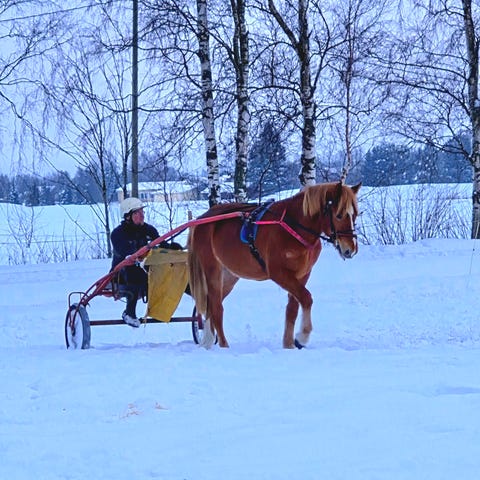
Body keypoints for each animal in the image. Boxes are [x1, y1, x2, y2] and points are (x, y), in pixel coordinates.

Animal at [187, 181, 361, 349]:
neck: (293, 227)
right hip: (213, 271)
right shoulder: (279, 273)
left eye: (355, 215)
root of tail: (202, 219)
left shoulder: (302, 274)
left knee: (211, 306)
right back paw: (224, 345)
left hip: (229, 276)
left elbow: (293, 309)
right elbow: (306, 298)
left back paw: (208, 341)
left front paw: (289, 344)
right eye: (339, 215)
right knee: (217, 308)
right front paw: (302, 336)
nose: (350, 249)